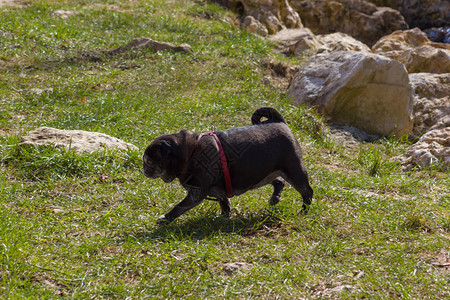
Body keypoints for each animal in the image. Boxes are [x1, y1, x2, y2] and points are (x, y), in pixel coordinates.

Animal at [142, 106, 312, 224]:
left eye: (149, 162)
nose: (143, 170)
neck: (188, 153)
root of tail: (279, 122)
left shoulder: (196, 192)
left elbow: (179, 207)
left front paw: (166, 218)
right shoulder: (219, 190)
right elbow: (224, 203)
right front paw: (224, 217)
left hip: (294, 172)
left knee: (307, 191)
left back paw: (304, 211)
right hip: (263, 174)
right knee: (278, 181)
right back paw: (275, 198)